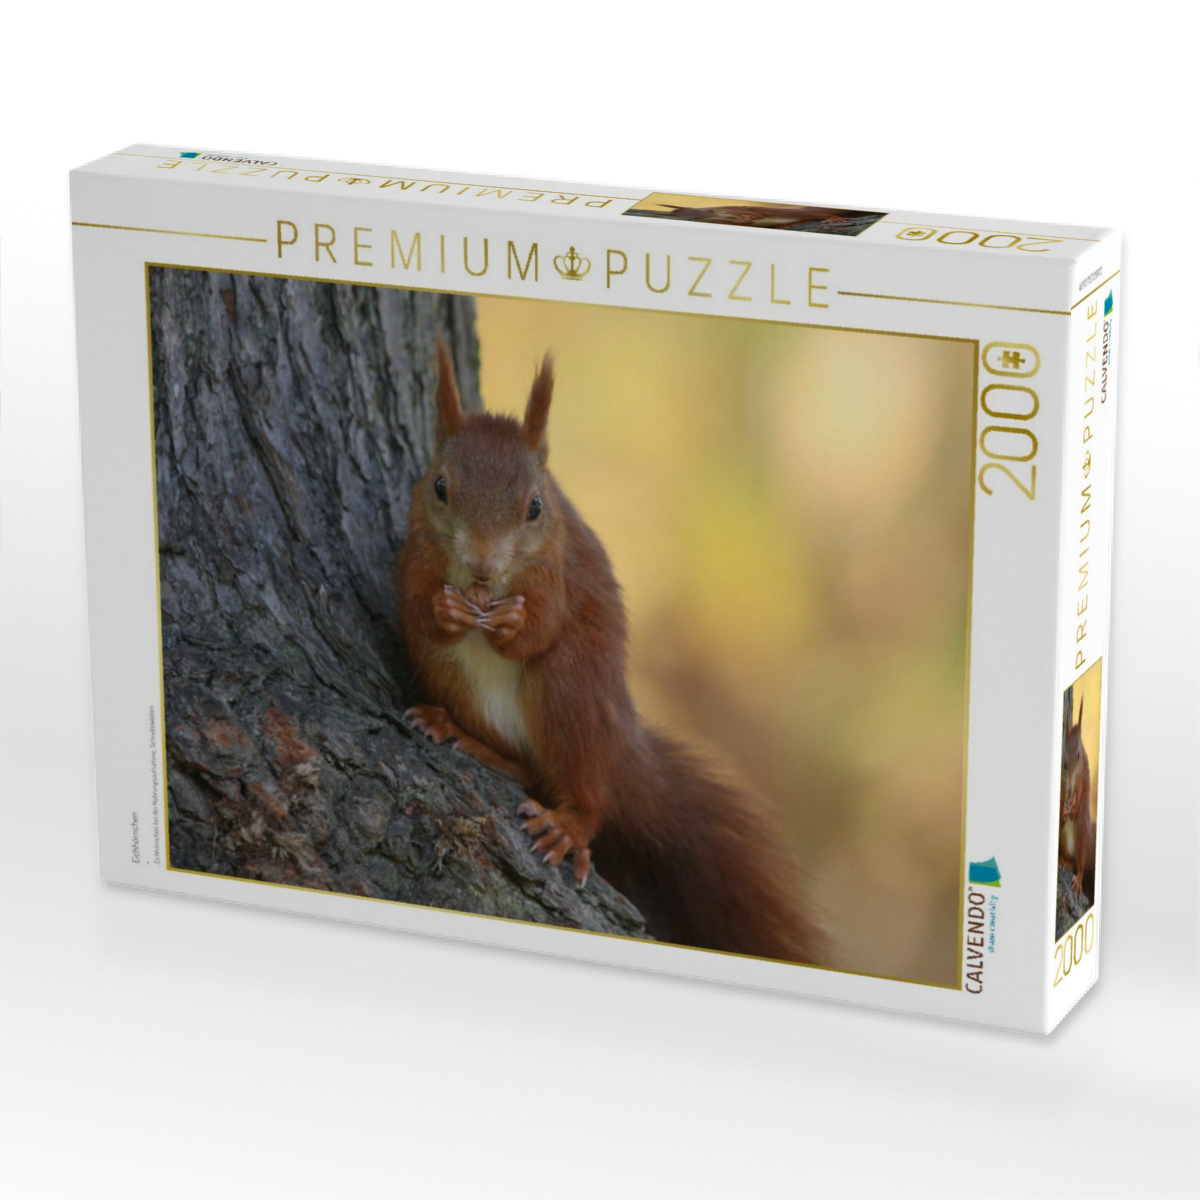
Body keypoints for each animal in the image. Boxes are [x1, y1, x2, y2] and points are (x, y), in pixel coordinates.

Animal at [396, 339, 826, 965]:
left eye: (535, 506)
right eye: (439, 487)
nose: (482, 563)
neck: (484, 586)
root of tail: (619, 746)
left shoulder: (556, 571)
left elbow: (542, 626)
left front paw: (514, 622)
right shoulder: (416, 553)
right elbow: (414, 606)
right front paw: (445, 611)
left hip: (569, 688)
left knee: (586, 789)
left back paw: (569, 823)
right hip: (449, 676)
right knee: (526, 766)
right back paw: (459, 733)